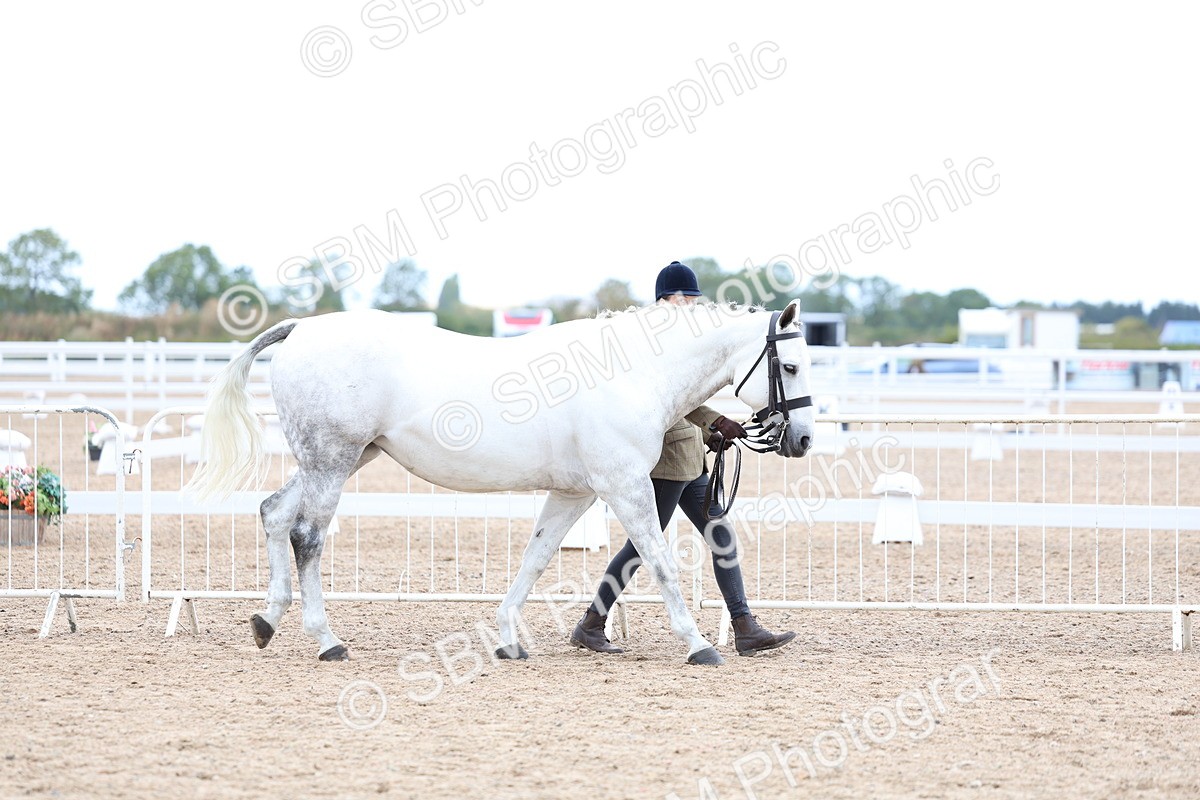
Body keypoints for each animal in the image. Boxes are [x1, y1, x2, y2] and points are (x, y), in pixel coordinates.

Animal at [187, 299, 815, 665]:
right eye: (789, 366)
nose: (803, 439)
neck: (634, 373)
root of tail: (301, 331)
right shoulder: (625, 487)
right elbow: (659, 562)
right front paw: (700, 645)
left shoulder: (575, 492)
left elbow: (535, 559)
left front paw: (509, 639)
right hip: (333, 460)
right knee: (307, 537)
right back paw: (327, 641)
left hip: (344, 459)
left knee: (273, 513)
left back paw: (266, 622)